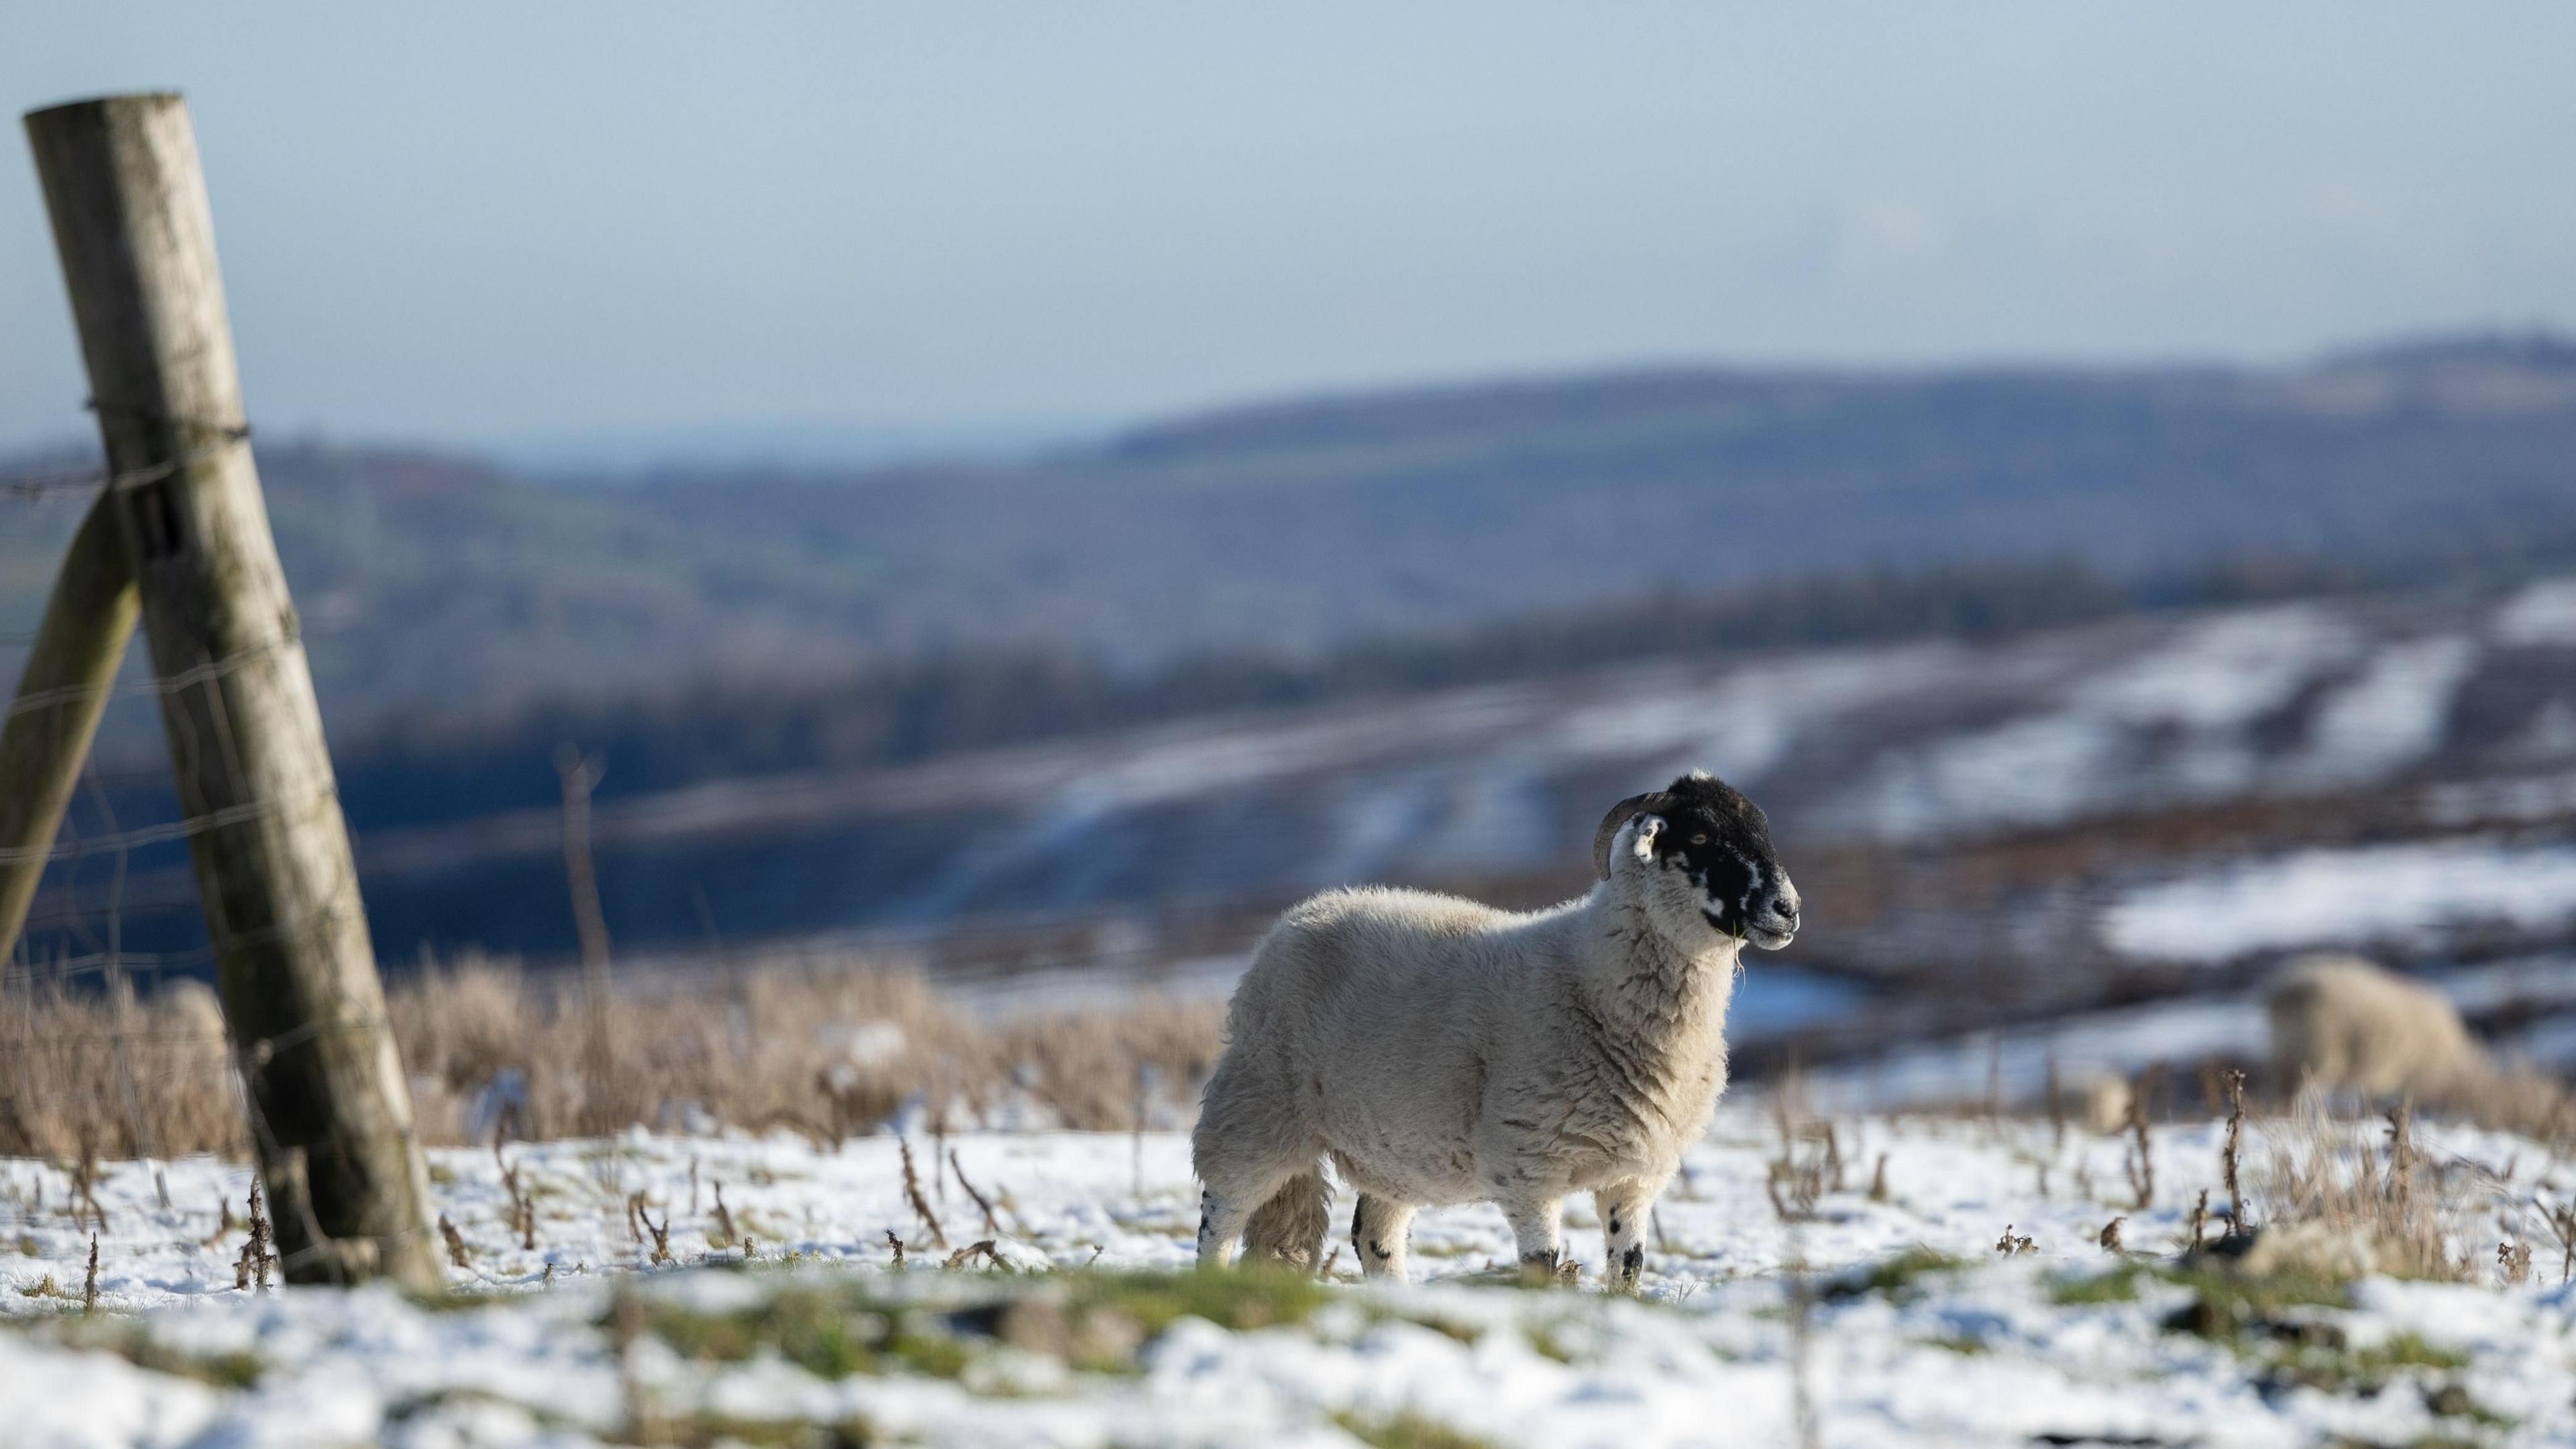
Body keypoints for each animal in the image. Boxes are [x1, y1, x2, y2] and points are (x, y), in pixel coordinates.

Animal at [1191, 770, 1800, 1289]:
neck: (1594, 977)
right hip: (1256, 1109)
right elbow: (1542, 1264)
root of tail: (1308, 910)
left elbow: (1627, 1269)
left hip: (1391, 1147)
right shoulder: (1529, 1164)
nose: (1788, 909)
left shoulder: (1635, 1177)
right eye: (1700, 835)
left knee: (1373, 1237)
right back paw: (1209, 1285)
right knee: (1219, 1218)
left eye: (1762, 831)